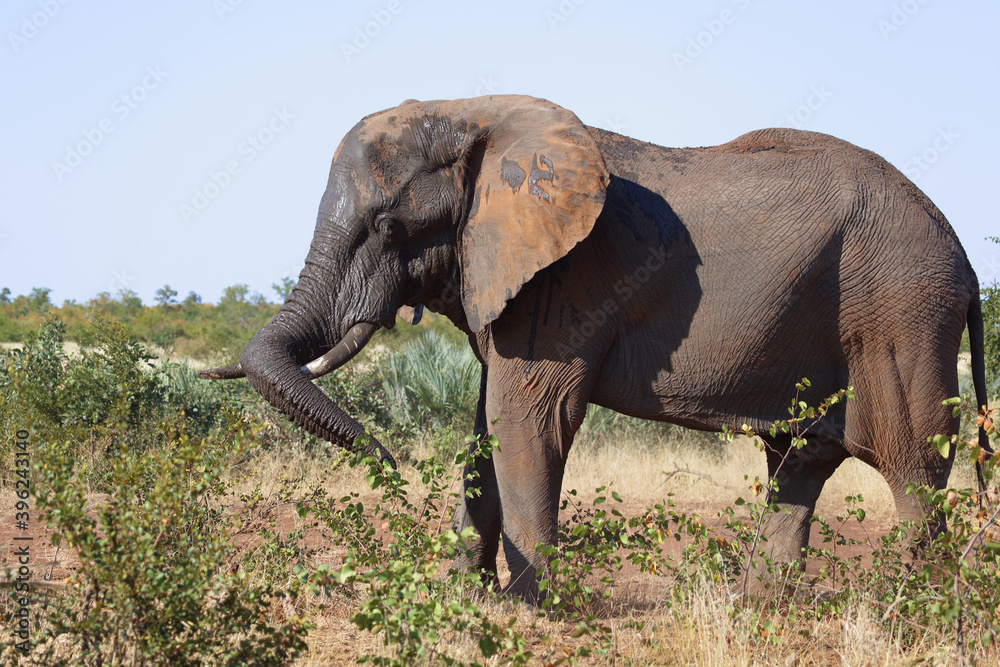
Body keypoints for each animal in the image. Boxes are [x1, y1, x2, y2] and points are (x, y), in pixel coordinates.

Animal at [200, 94, 992, 601]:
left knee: (911, 463)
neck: (472, 116)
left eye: (390, 226)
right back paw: (761, 605)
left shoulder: (566, 281)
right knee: (800, 461)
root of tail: (966, 258)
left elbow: (528, 421)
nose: (389, 460)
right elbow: (486, 428)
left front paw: (528, 608)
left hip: (899, 313)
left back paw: (914, 606)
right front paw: (461, 601)